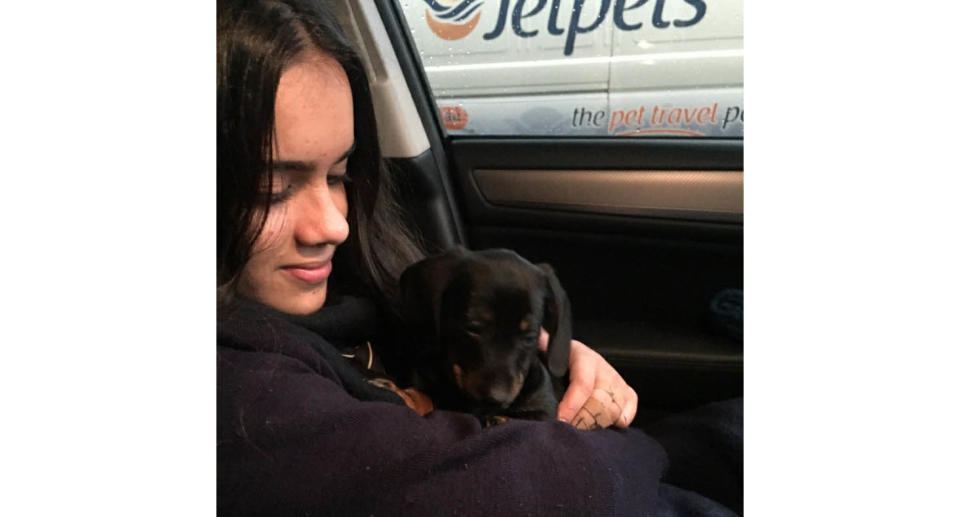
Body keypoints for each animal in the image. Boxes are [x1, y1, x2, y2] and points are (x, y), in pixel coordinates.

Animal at [388, 247, 568, 424]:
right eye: (473, 328)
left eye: (530, 337)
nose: (496, 399)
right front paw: (408, 397)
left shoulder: (543, 409)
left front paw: (498, 418)